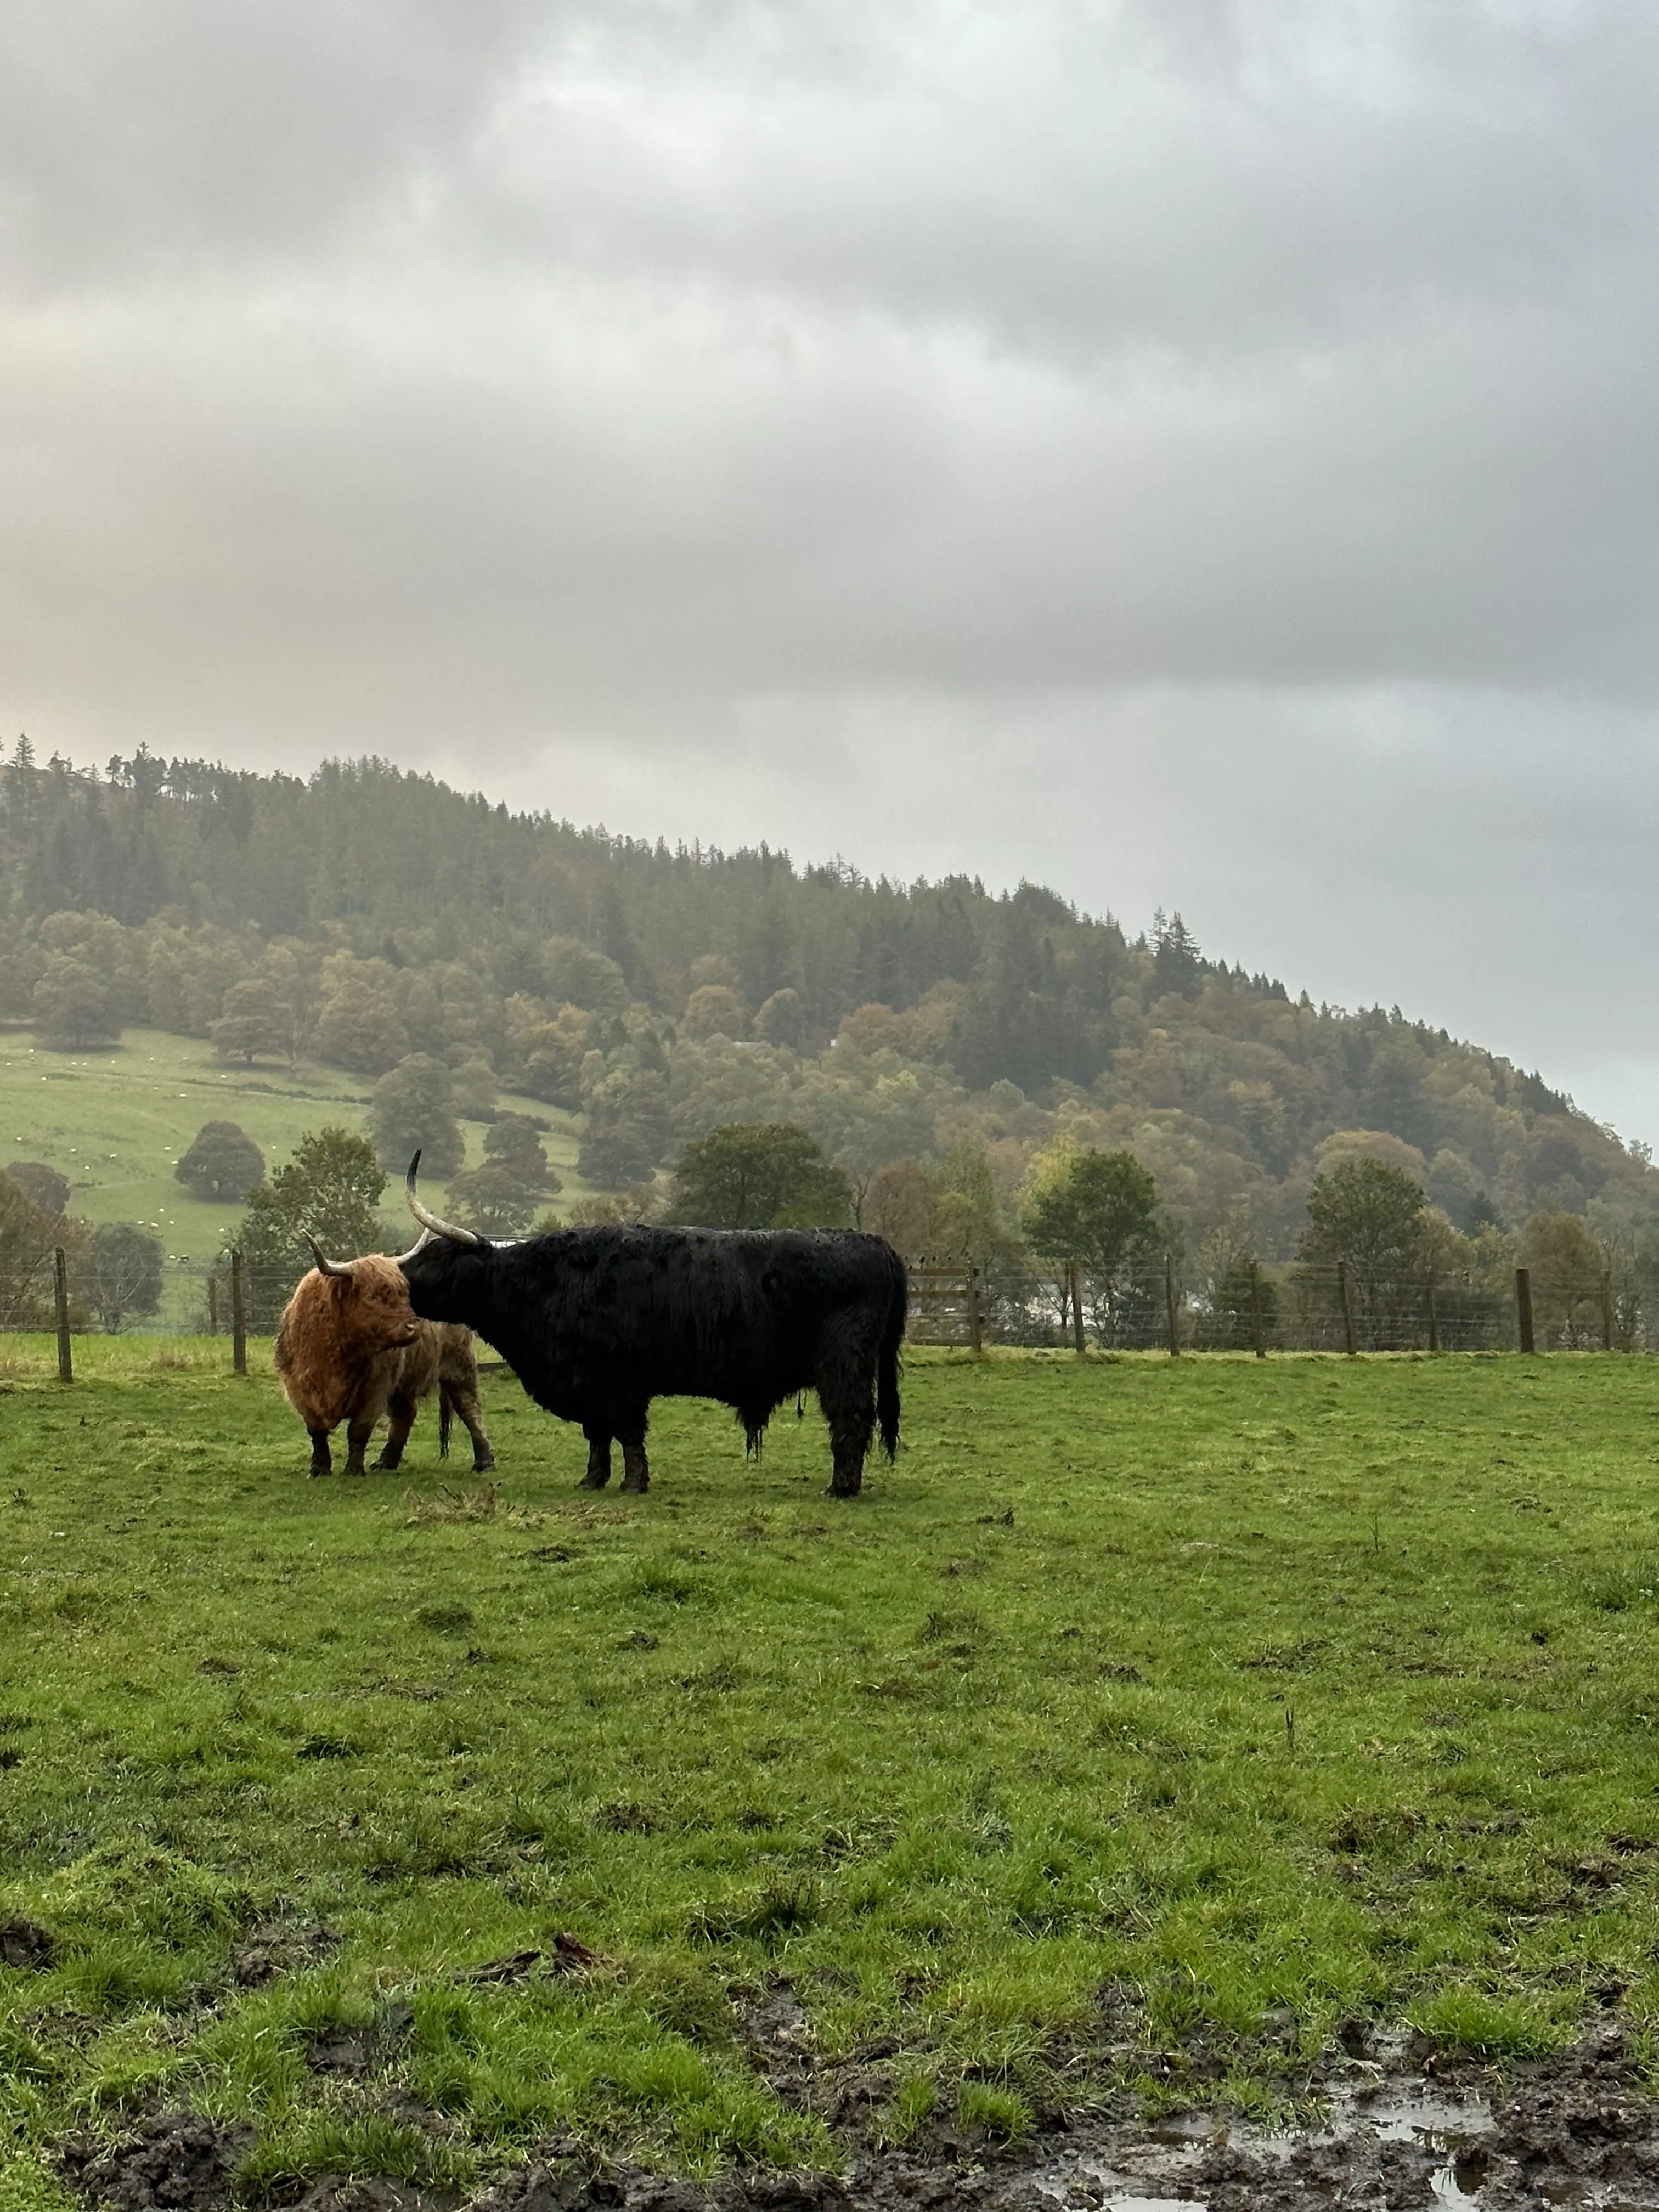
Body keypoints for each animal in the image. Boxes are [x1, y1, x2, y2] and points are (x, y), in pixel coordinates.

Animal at [273, 1244, 496, 1478]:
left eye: (405, 1292)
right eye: (372, 1296)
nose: (413, 1327)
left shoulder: (376, 1389)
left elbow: (359, 1430)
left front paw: (353, 1470)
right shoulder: (299, 1389)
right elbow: (317, 1431)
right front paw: (319, 1469)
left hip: (459, 1367)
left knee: (470, 1410)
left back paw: (485, 1462)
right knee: (405, 1414)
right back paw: (386, 1461)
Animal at [396, 1156, 906, 1496]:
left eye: (438, 1257)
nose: (401, 1277)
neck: (544, 1284)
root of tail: (875, 1242)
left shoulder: (620, 1383)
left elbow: (626, 1433)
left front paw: (633, 1483)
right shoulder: (590, 1385)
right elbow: (597, 1435)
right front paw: (593, 1480)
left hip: (844, 1364)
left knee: (852, 1419)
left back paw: (841, 1487)